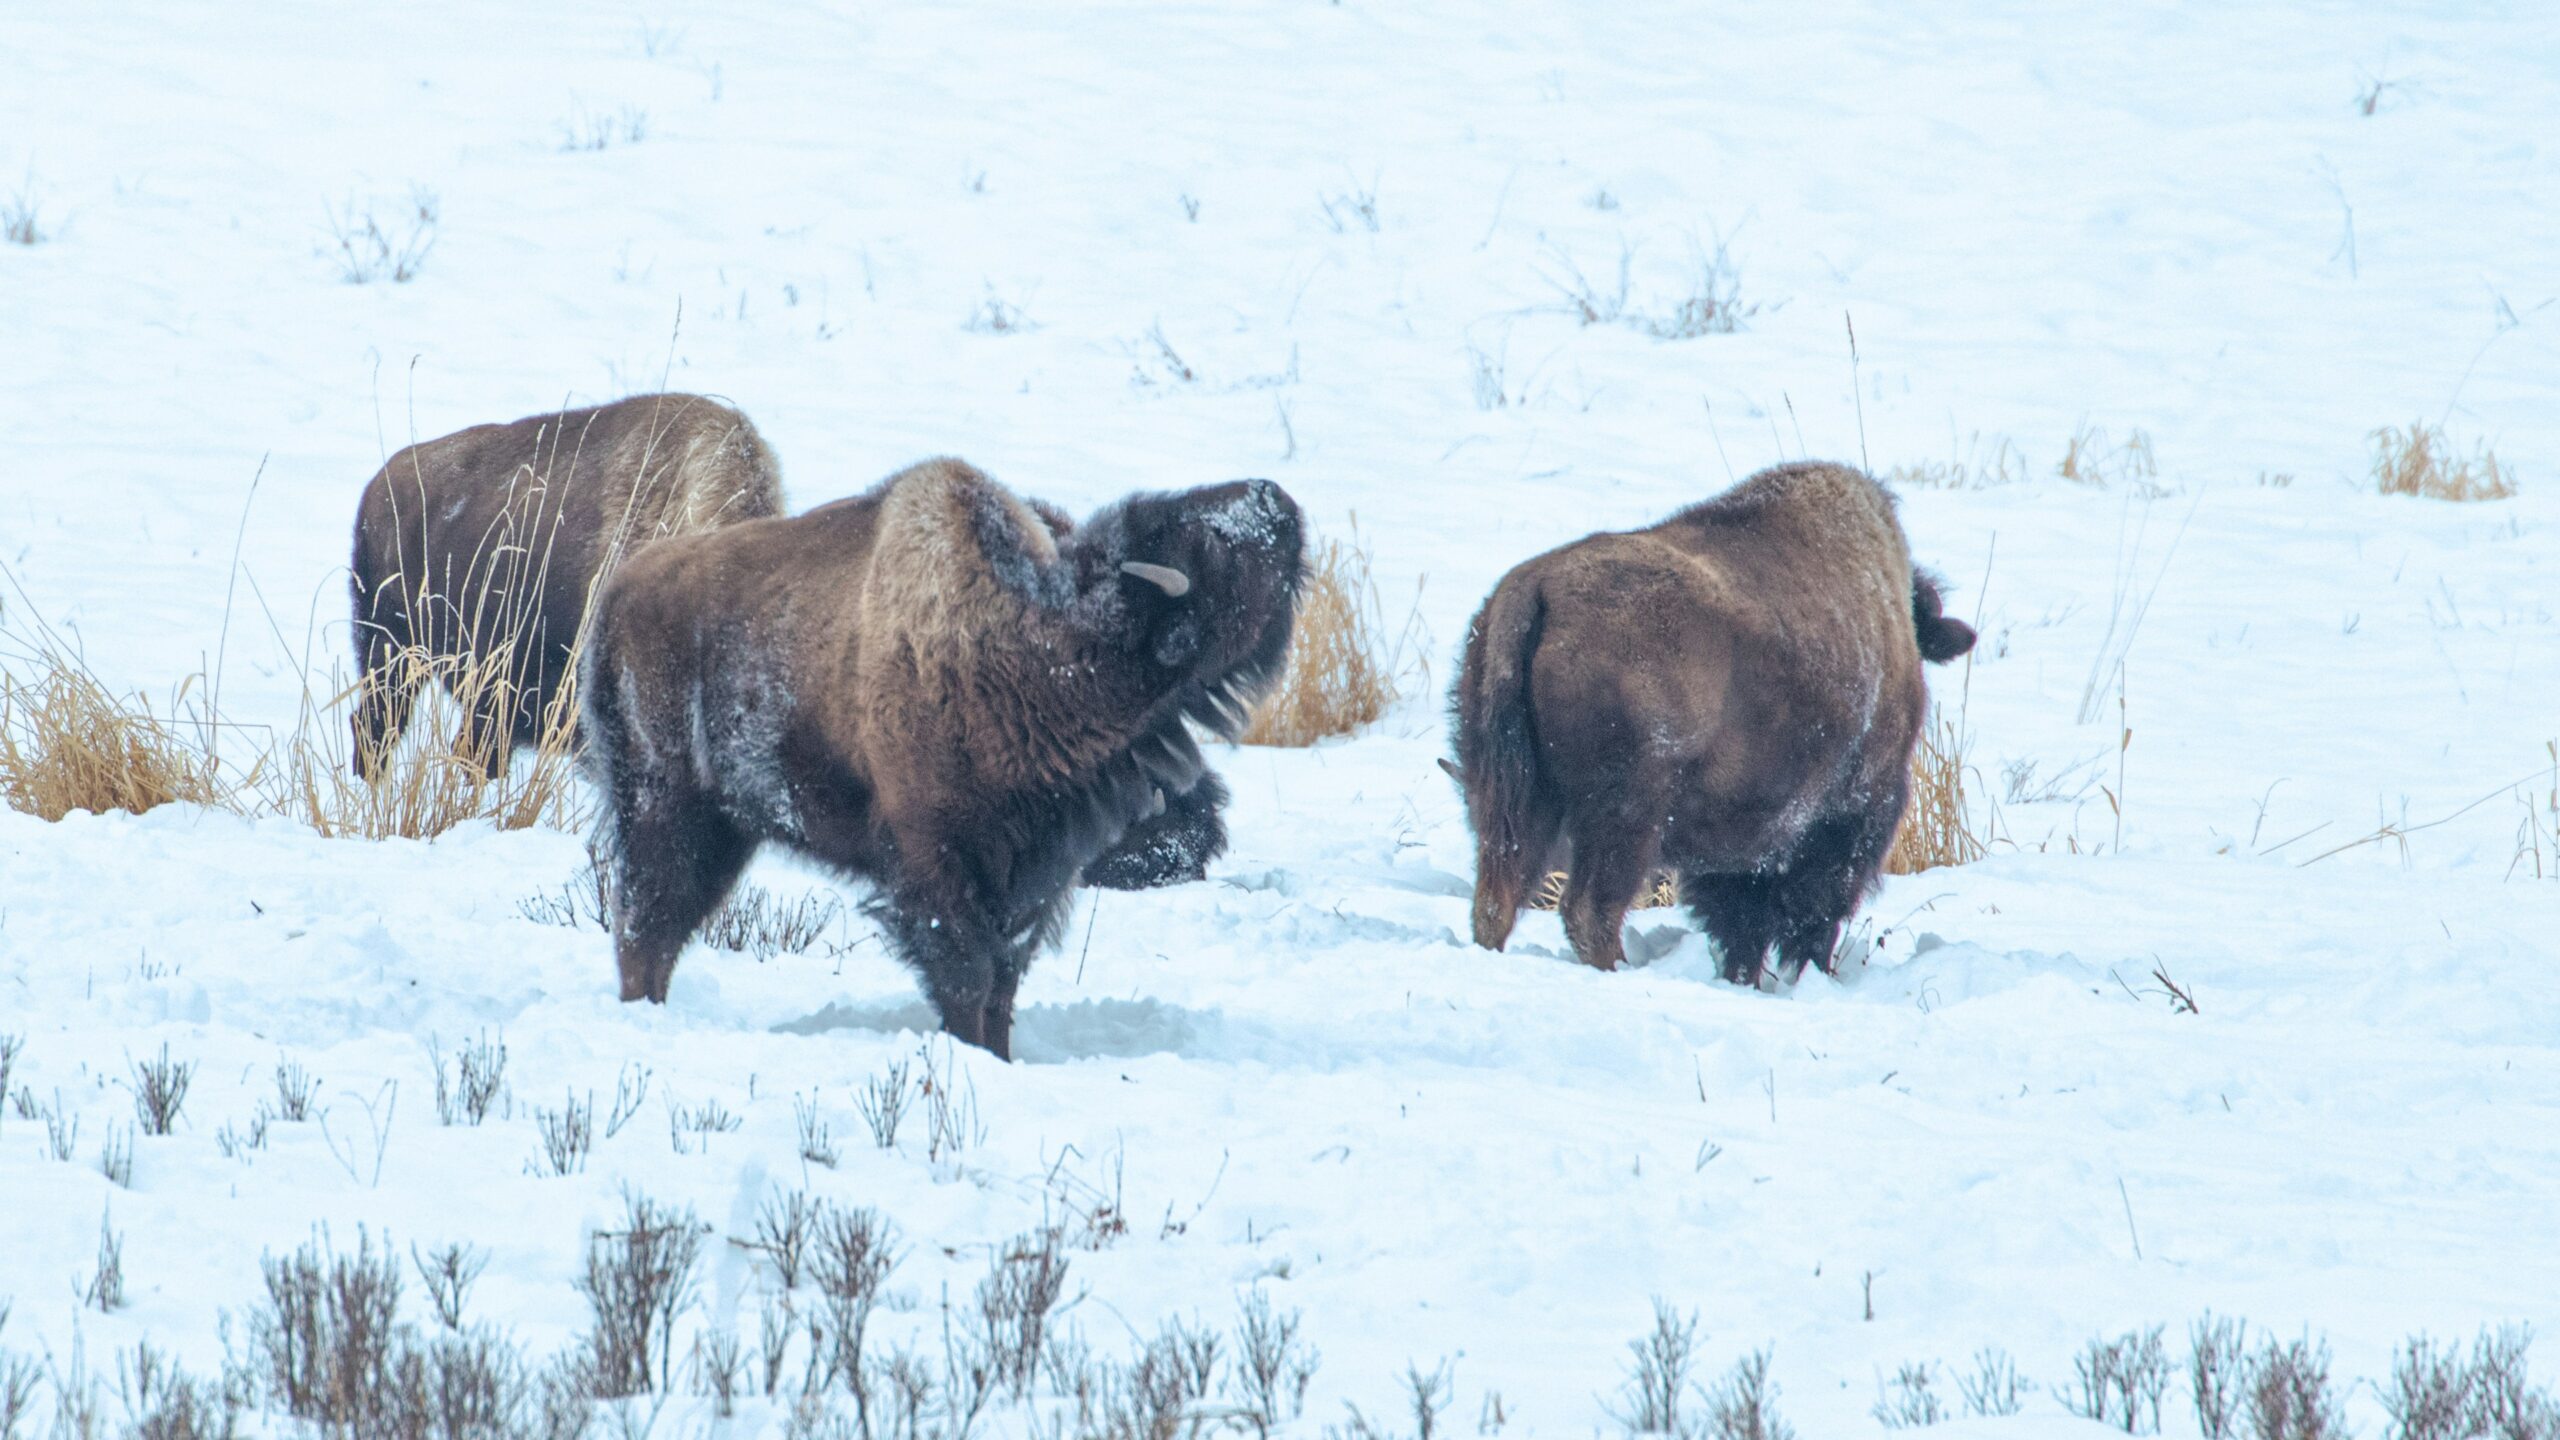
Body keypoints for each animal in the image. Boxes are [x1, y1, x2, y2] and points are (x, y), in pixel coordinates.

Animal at [576, 458, 1300, 1055]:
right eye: (1211, 547)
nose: (1277, 498)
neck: (1033, 649)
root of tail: (616, 597)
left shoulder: (1031, 876)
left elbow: (1003, 983)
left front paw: (1000, 1057)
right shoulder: (936, 862)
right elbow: (966, 978)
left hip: (722, 828)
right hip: (667, 809)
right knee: (648, 925)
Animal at [1443, 466, 1976, 978]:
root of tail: (1535, 589)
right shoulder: (1845, 816)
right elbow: (1808, 916)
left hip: (1511, 799)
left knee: (1496, 901)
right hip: (1622, 817)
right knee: (1589, 910)